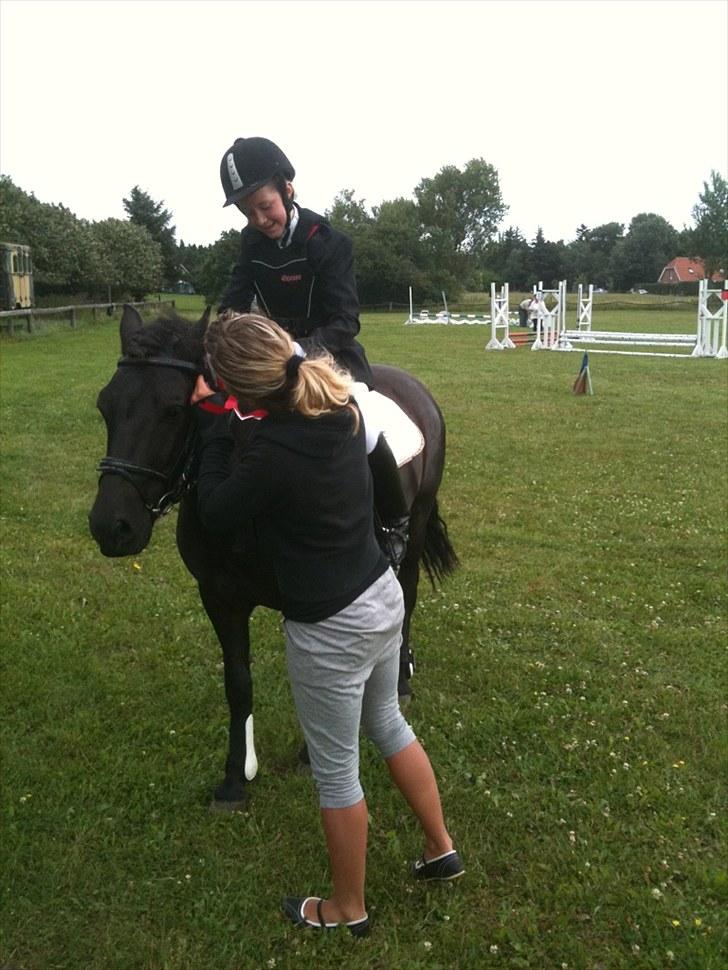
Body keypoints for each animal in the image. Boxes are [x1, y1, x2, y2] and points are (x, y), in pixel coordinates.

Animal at [88, 306, 458, 804]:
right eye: (104, 406)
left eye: (173, 410)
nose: (112, 527)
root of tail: (414, 386)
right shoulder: (219, 597)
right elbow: (238, 682)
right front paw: (235, 778)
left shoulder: (315, 600)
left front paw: (308, 756)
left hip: (414, 530)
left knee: (409, 594)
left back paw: (401, 679)